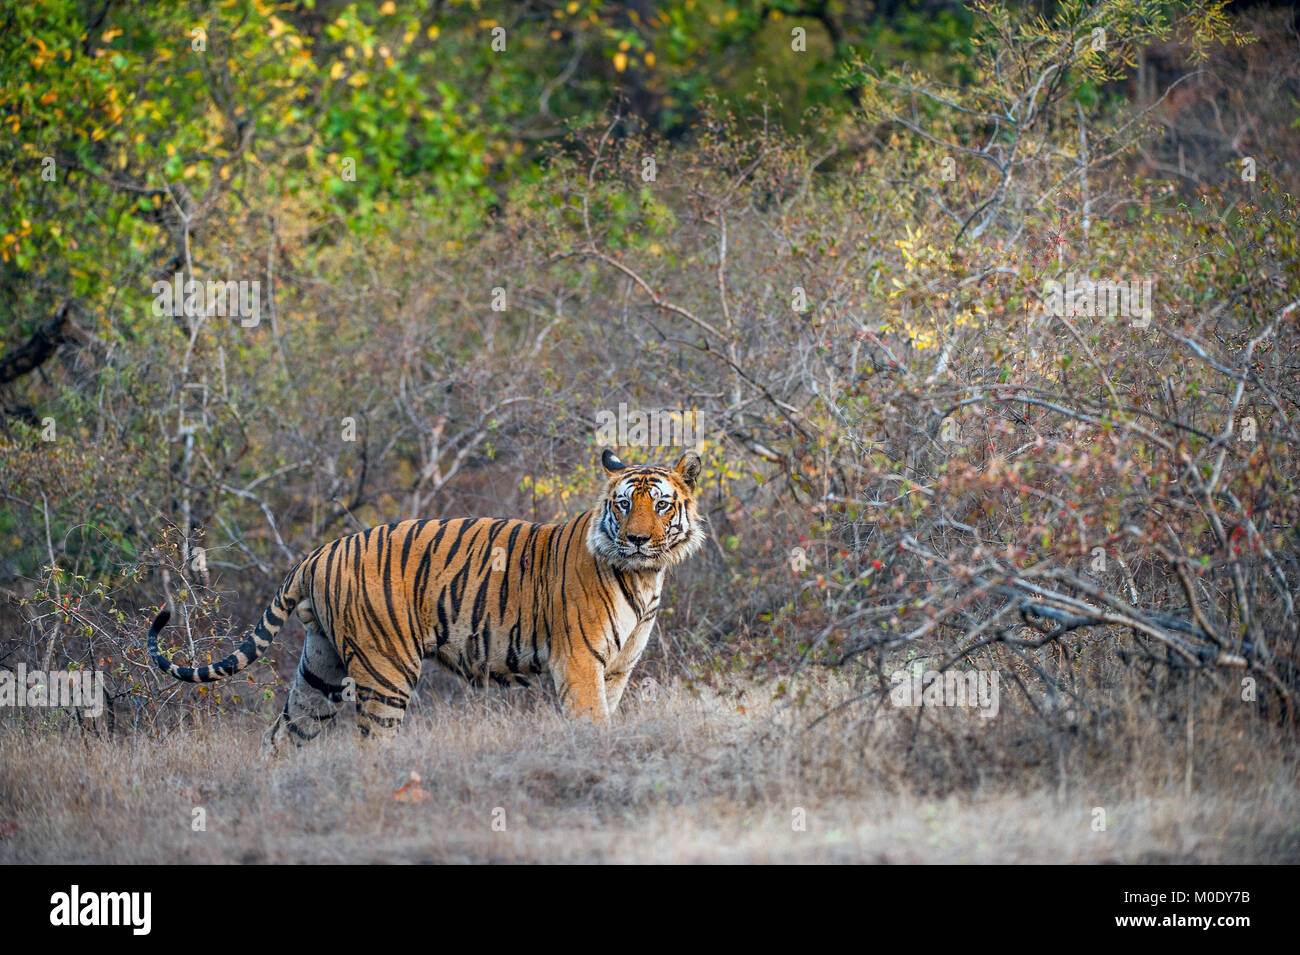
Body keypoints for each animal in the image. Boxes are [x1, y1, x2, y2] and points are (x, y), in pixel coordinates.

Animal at [147, 449, 707, 753]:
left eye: (661, 505)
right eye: (623, 505)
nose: (637, 539)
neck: (644, 577)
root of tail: (320, 551)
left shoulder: (617, 668)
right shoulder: (578, 662)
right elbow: (593, 723)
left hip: (321, 669)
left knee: (282, 734)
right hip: (386, 669)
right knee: (372, 744)